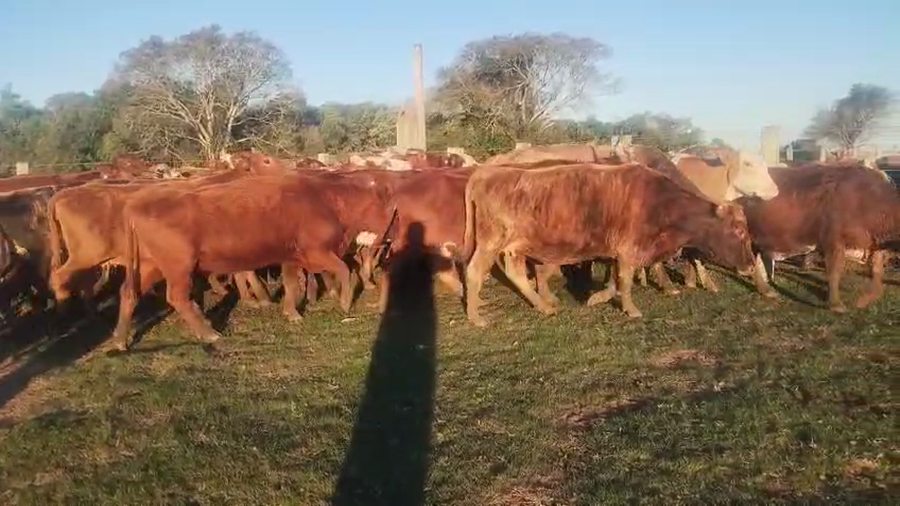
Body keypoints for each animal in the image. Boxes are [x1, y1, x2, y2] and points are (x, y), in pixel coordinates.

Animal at [458, 162, 756, 326]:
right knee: (474, 271)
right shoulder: (628, 250)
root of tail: (487, 173)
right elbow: (625, 281)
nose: (752, 266)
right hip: (490, 242)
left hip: (514, 247)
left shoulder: (619, 253)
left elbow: (615, 281)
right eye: (740, 231)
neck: (661, 203)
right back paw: (475, 316)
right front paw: (631, 310)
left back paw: (543, 305)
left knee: (517, 274)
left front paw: (596, 298)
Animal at [737, 162, 900, 311]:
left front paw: (866, 300)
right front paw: (836, 305)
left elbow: (877, 271)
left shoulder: (873, 245)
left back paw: (768, 291)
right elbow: (834, 272)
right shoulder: (833, 241)